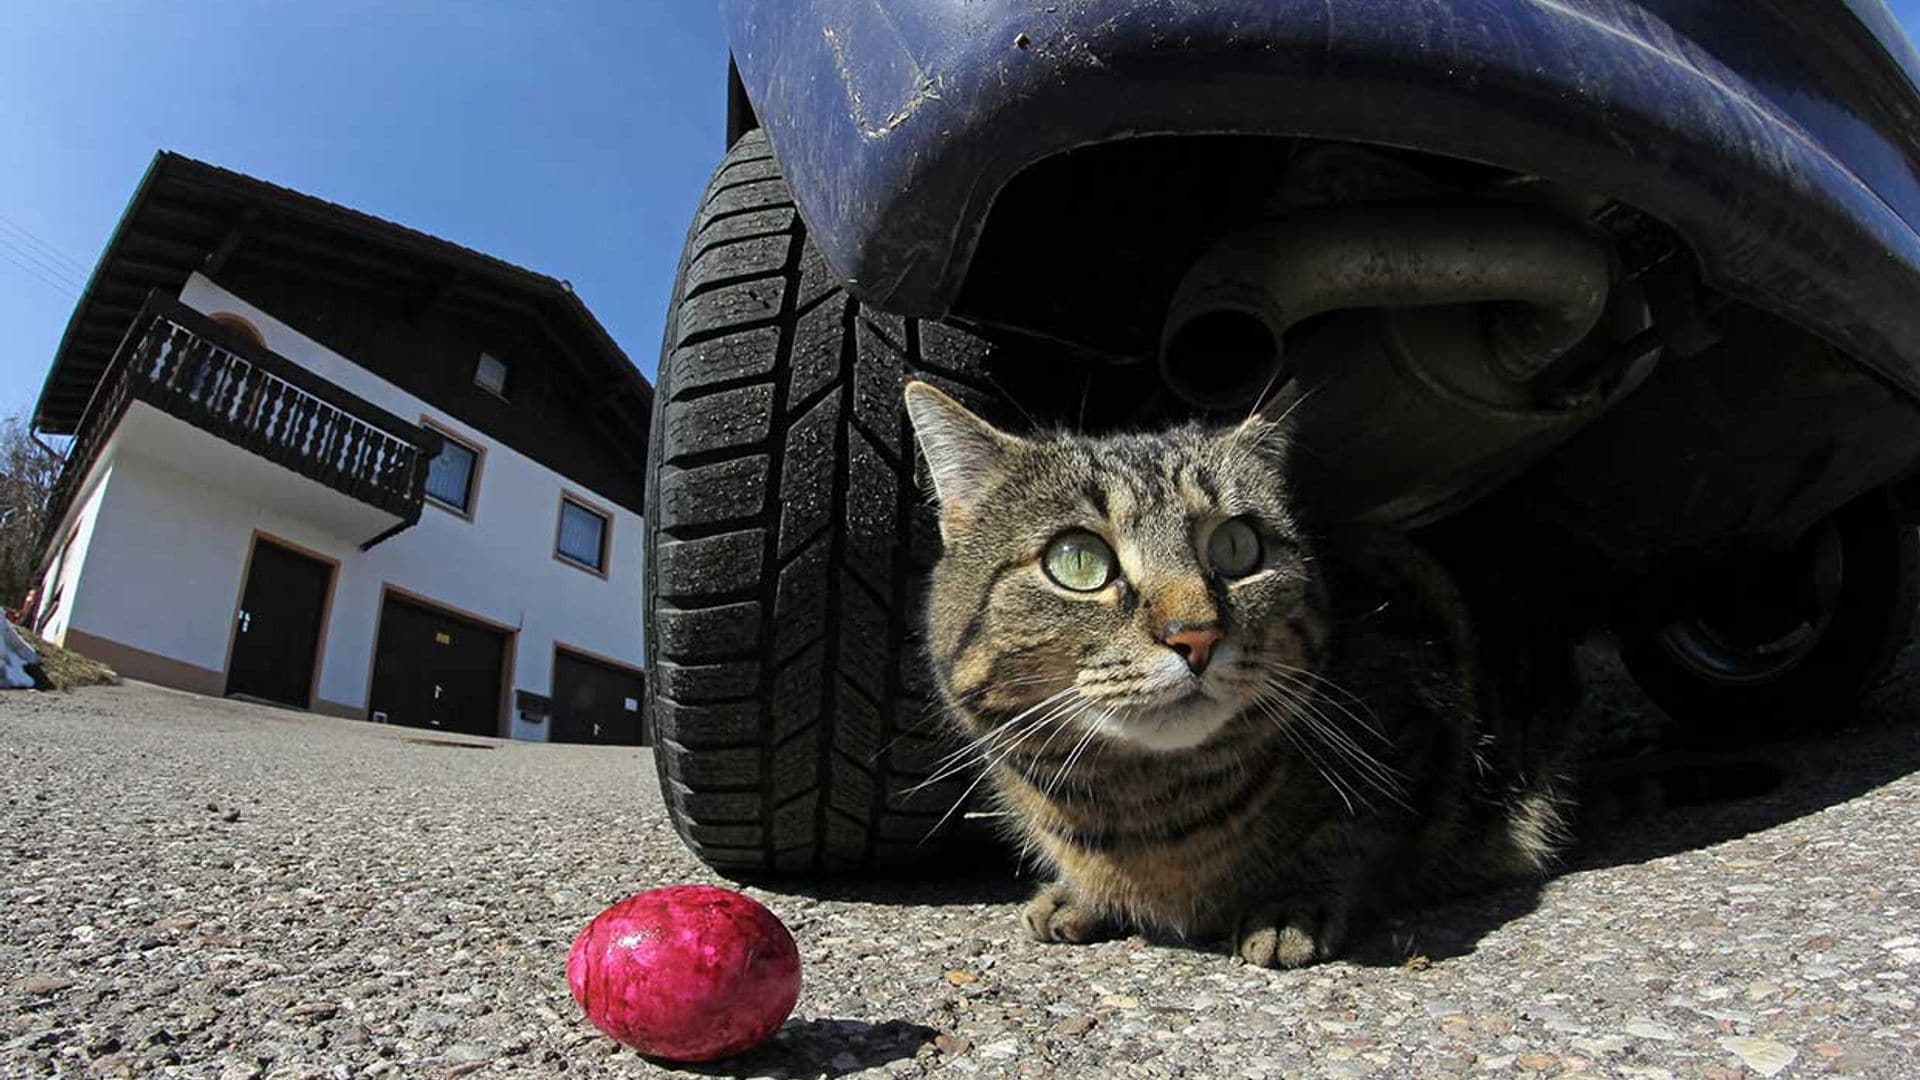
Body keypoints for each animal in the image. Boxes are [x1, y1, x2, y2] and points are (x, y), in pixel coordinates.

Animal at [898, 380, 1574, 968]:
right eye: (1078, 561)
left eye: (1236, 546)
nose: (1195, 635)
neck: (1149, 809)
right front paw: (1079, 895)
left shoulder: (1420, 725)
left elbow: (1353, 834)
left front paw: (1288, 906)